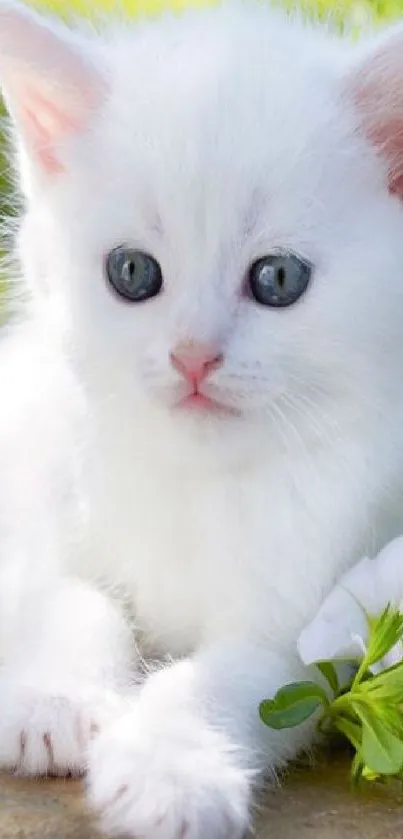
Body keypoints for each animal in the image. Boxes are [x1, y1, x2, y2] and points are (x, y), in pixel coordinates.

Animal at [0, 0, 403, 836]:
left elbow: (233, 676)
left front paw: (167, 769)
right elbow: (74, 593)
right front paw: (53, 700)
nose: (192, 355)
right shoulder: (42, 485)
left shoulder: (316, 624)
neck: (196, 475)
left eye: (277, 278)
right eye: (131, 271)